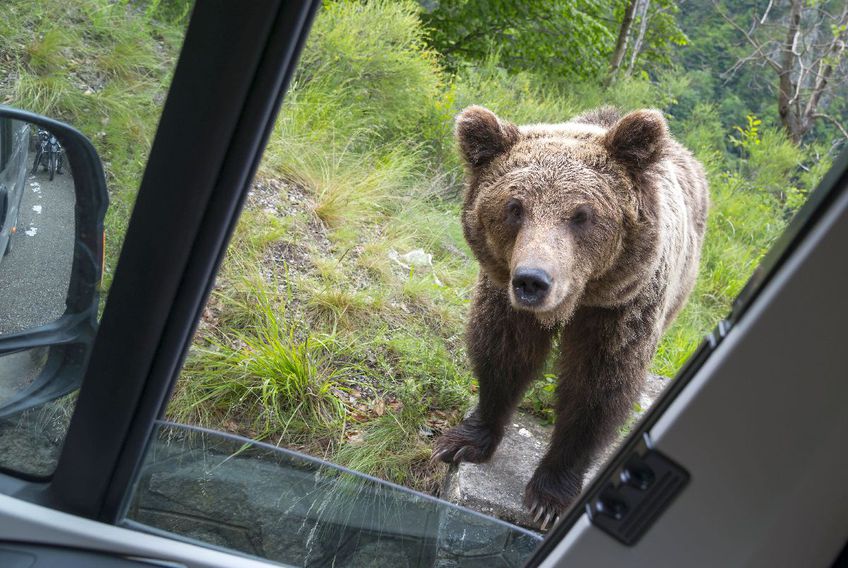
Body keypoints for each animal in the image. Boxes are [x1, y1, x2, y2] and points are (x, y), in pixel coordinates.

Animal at [430, 105, 708, 528]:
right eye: (515, 207)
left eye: (582, 215)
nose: (532, 280)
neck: (579, 299)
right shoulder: (506, 299)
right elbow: (502, 354)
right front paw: (462, 442)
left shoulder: (620, 309)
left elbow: (597, 388)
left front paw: (549, 496)